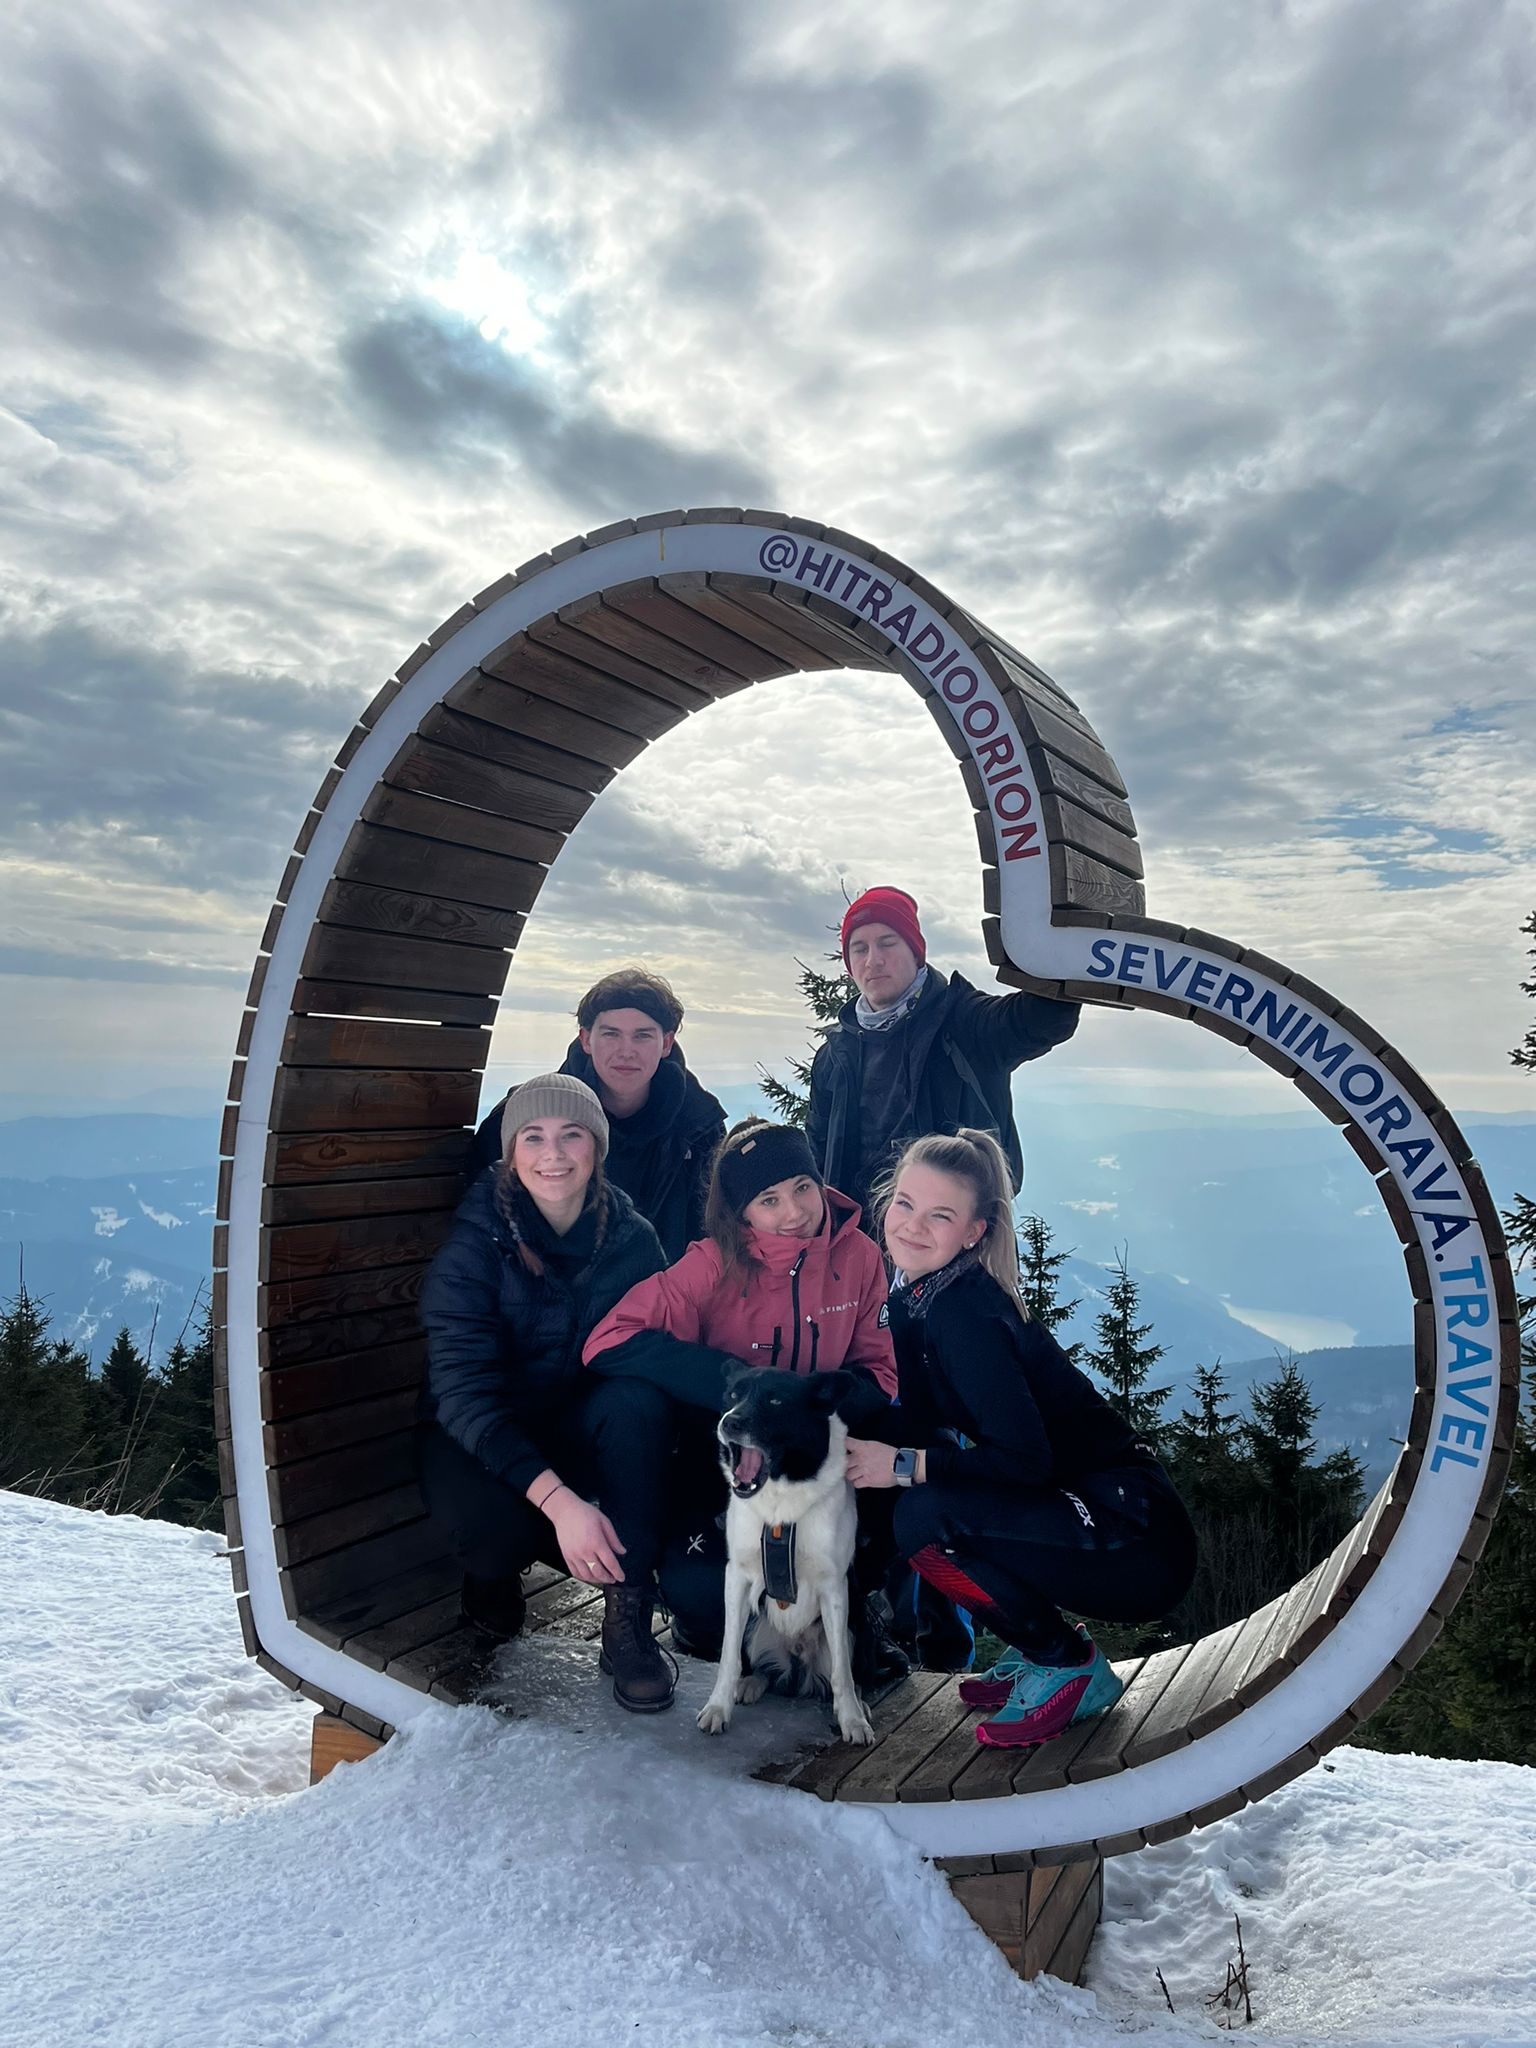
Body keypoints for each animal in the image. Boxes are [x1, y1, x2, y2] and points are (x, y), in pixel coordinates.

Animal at [697, 1366, 875, 1745]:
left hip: (859, 1623)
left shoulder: (834, 1588)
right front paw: (718, 1707)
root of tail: (797, 1661)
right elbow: (728, 1657)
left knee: (854, 1673)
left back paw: (862, 1704)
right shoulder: (736, 1578)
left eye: (776, 1401)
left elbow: (842, 1672)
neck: (780, 1503)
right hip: (754, 1618)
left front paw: (852, 1719)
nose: (729, 1422)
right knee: (762, 1668)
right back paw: (750, 1683)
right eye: (733, 1396)